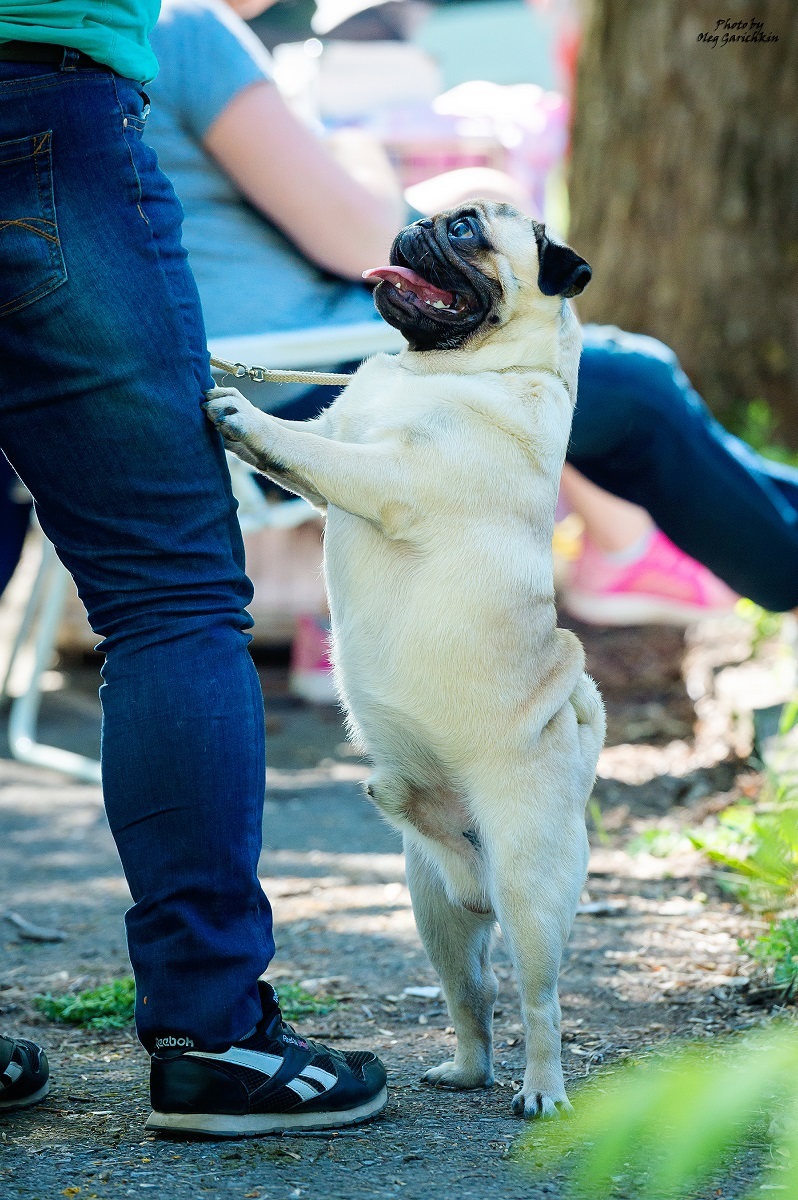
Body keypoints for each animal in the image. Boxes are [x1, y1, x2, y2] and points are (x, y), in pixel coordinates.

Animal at [204, 204, 604, 1113]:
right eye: (435, 218)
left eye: (467, 233)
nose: (415, 223)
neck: (438, 368)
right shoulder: (335, 455)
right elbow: (302, 456)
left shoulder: (382, 473)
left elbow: (309, 452)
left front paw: (243, 413)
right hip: (434, 907)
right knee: (473, 997)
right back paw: (464, 1069)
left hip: (530, 887)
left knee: (540, 1002)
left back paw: (542, 1090)